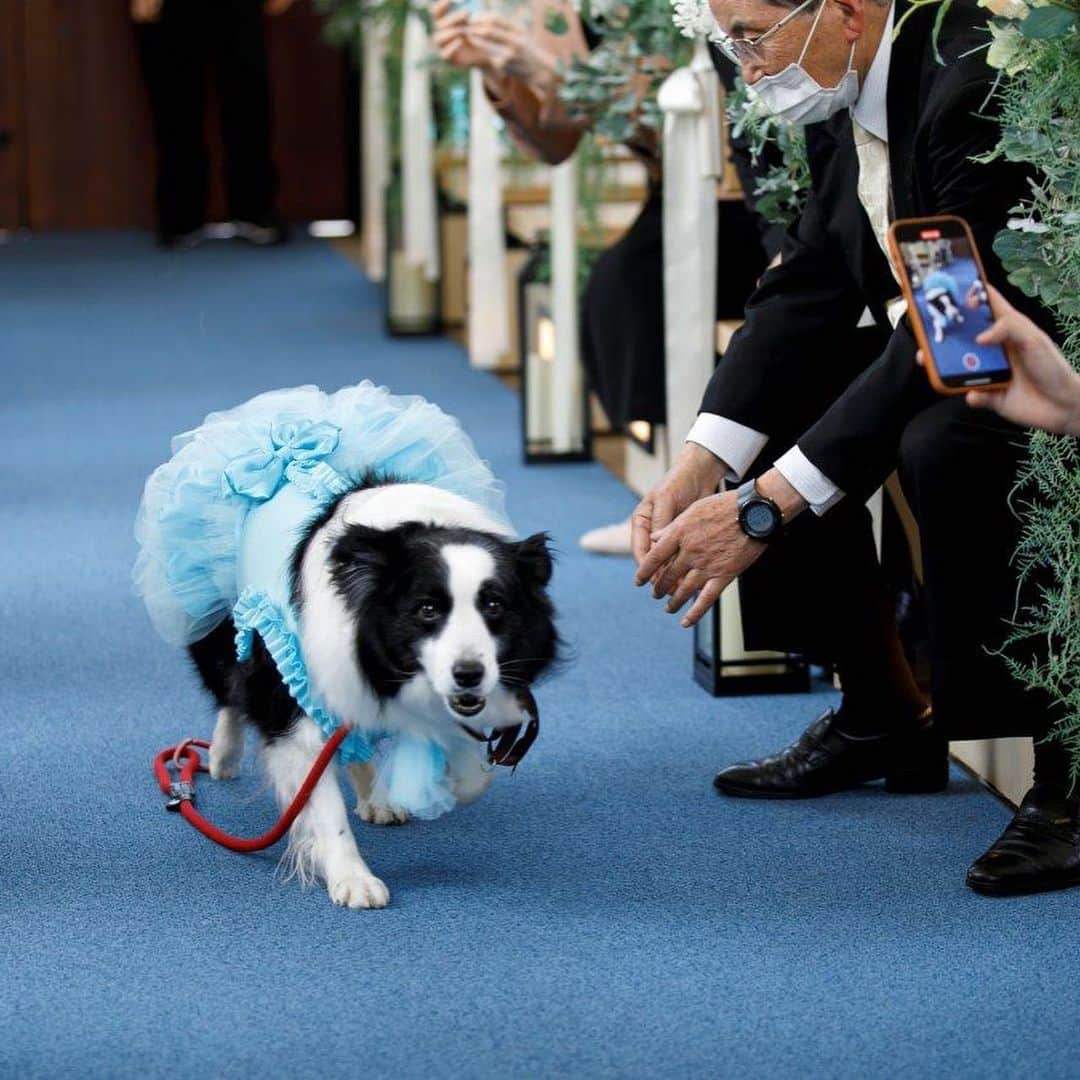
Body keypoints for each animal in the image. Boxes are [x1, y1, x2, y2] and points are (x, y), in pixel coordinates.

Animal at [187, 477, 557, 907]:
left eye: (495, 605)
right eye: (427, 609)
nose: (469, 674)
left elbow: (473, 774)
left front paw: (450, 782)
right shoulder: (295, 691)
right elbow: (320, 795)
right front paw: (352, 877)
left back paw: (376, 797)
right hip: (222, 621)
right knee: (230, 684)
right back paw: (224, 754)